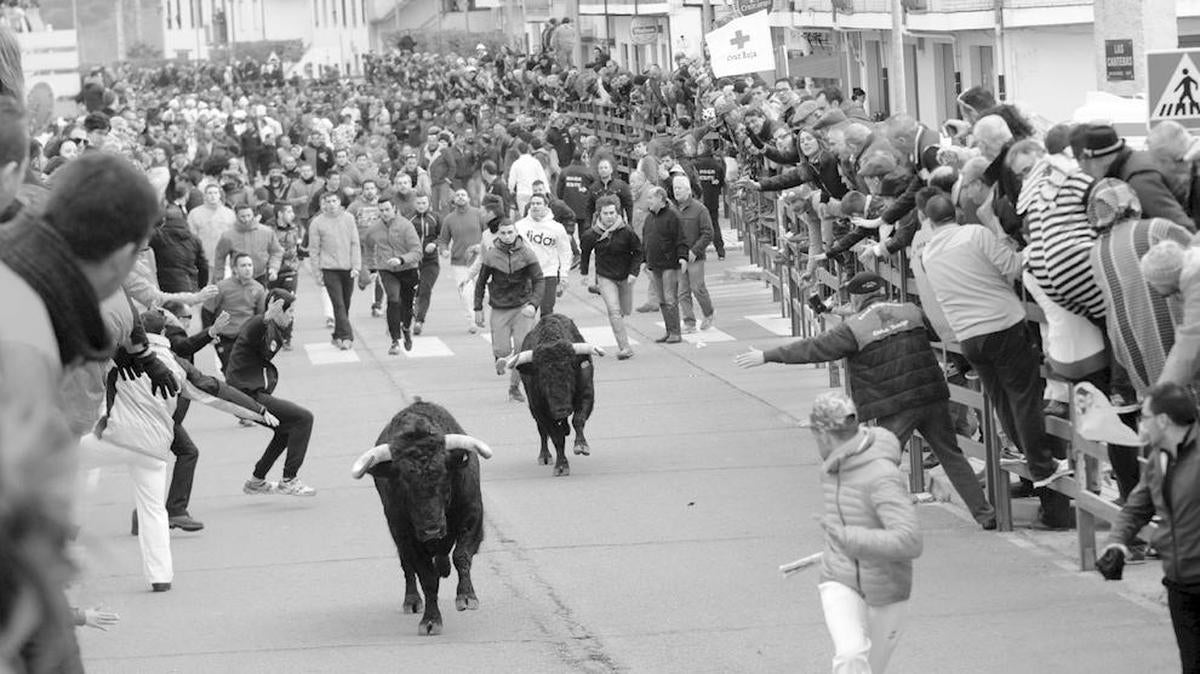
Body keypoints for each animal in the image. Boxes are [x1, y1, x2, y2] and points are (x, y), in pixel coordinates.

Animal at [360, 398, 482, 633]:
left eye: (444, 477)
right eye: (403, 484)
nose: (431, 529)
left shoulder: (473, 515)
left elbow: (461, 555)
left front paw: (466, 597)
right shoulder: (406, 536)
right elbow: (427, 578)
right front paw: (431, 621)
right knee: (407, 566)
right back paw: (412, 600)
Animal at [516, 311, 595, 474]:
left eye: (570, 372)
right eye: (542, 377)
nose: (561, 410)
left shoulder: (587, 394)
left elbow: (578, 419)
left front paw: (581, 446)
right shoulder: (540, 410)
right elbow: (556, 437)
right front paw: (561, 466)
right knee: (542, 432)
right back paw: (544, 455)